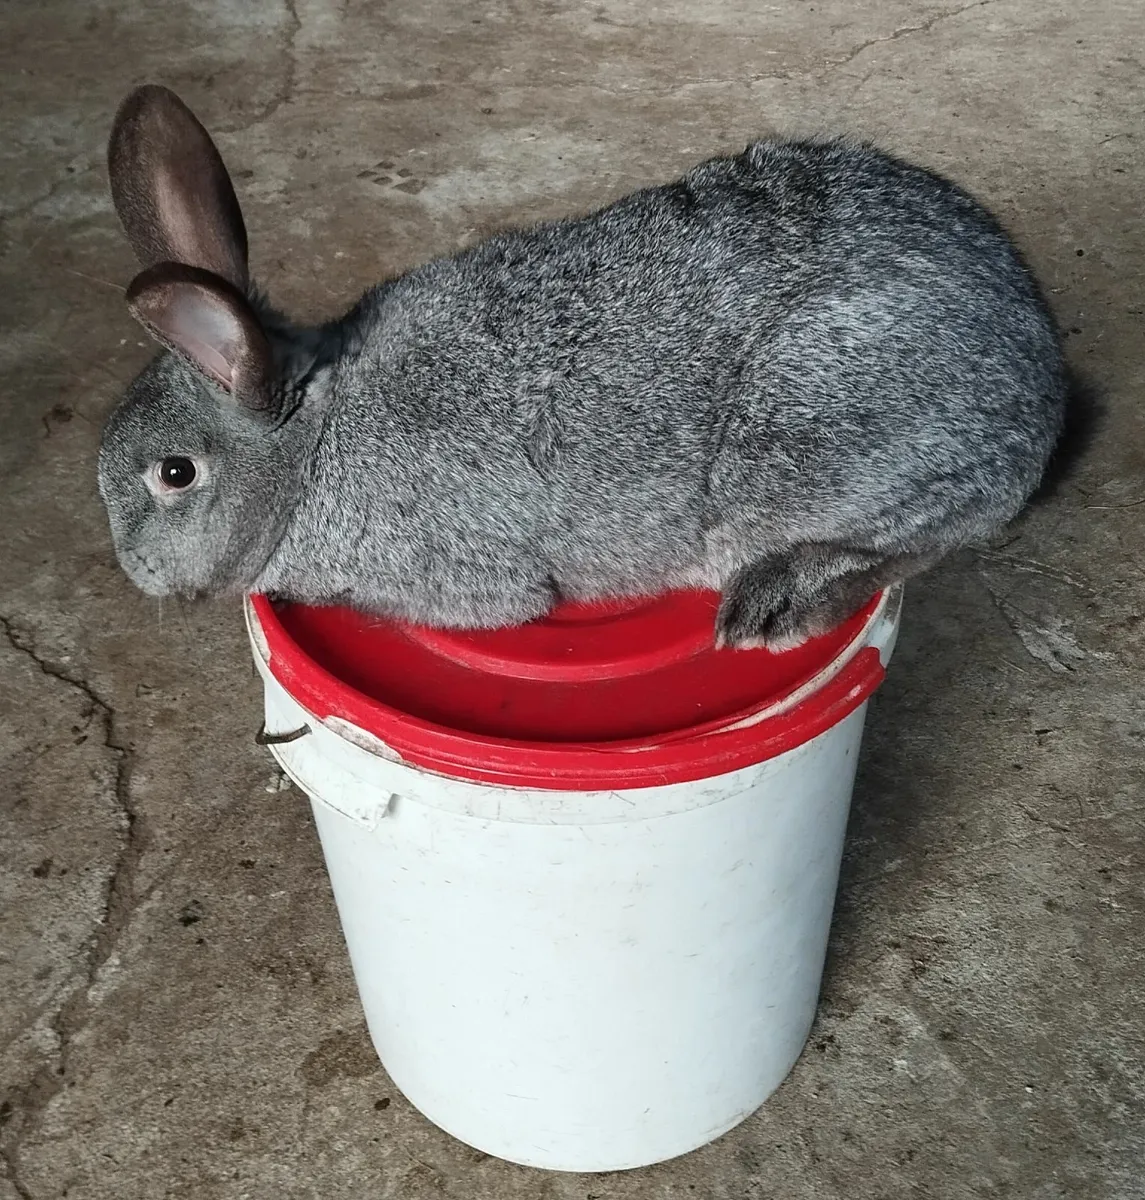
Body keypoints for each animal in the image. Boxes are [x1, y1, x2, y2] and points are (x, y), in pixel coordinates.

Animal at [98, 84, 1067, 650]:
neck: (312, 441)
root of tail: (1042, 377)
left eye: (174, 474)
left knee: (942, 529)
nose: (133, 574)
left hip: (804, 430)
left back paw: (777, 605)